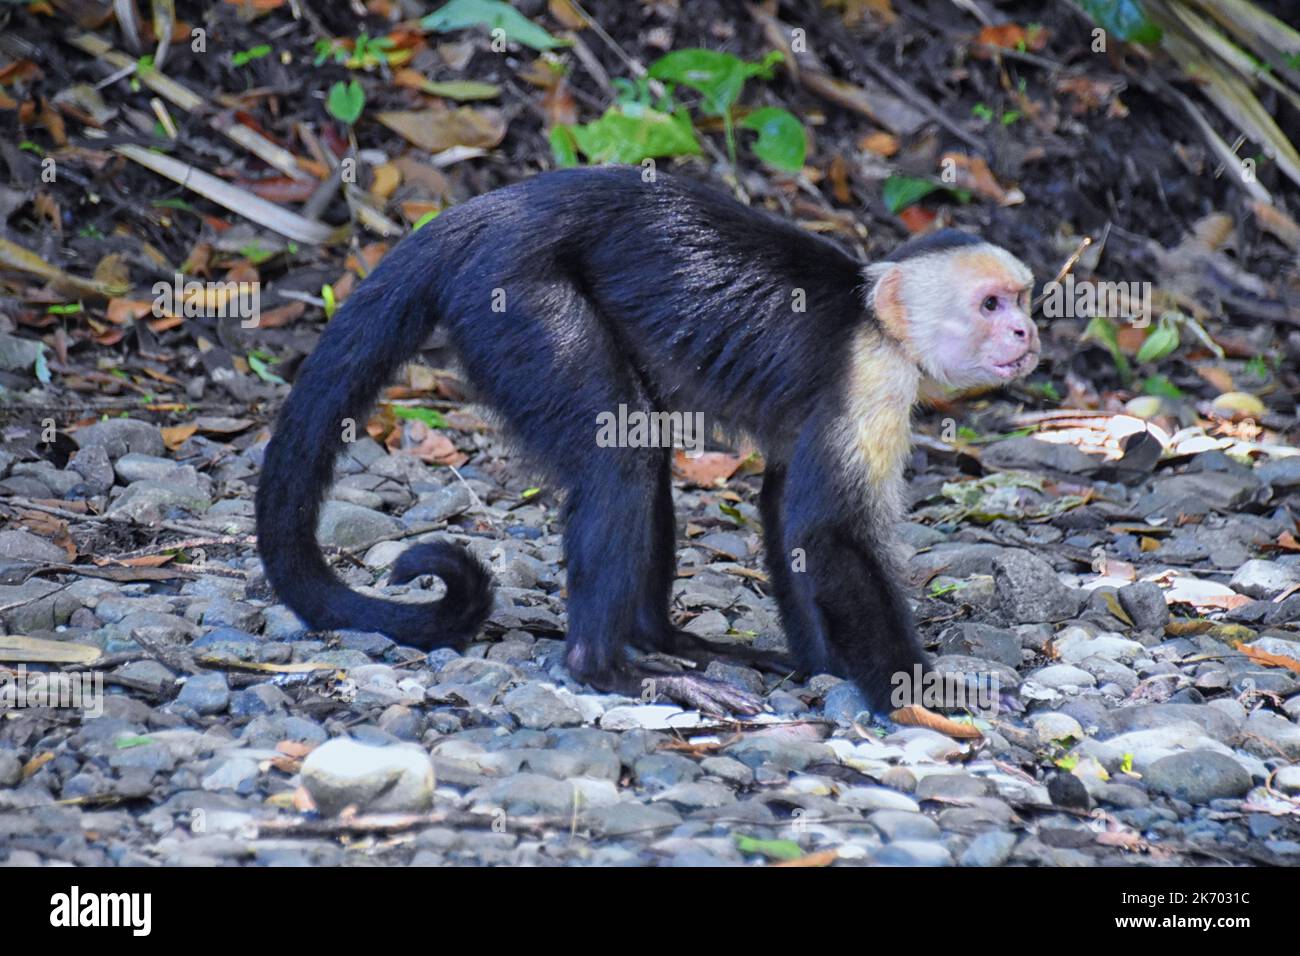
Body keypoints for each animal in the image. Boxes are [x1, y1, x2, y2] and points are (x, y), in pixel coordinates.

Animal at [256, 166, 1034, 717]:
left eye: (1022, 299)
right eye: (991, 304)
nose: (1027, 331)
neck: (876, 319)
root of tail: (493, 209)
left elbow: (787, 509)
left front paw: (826, 666)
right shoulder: (873, 375)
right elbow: (831, 532)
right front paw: (917, 692)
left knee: (643, 448)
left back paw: (664, 641)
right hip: (512, 295)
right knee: (620, 456)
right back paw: (606, 668)